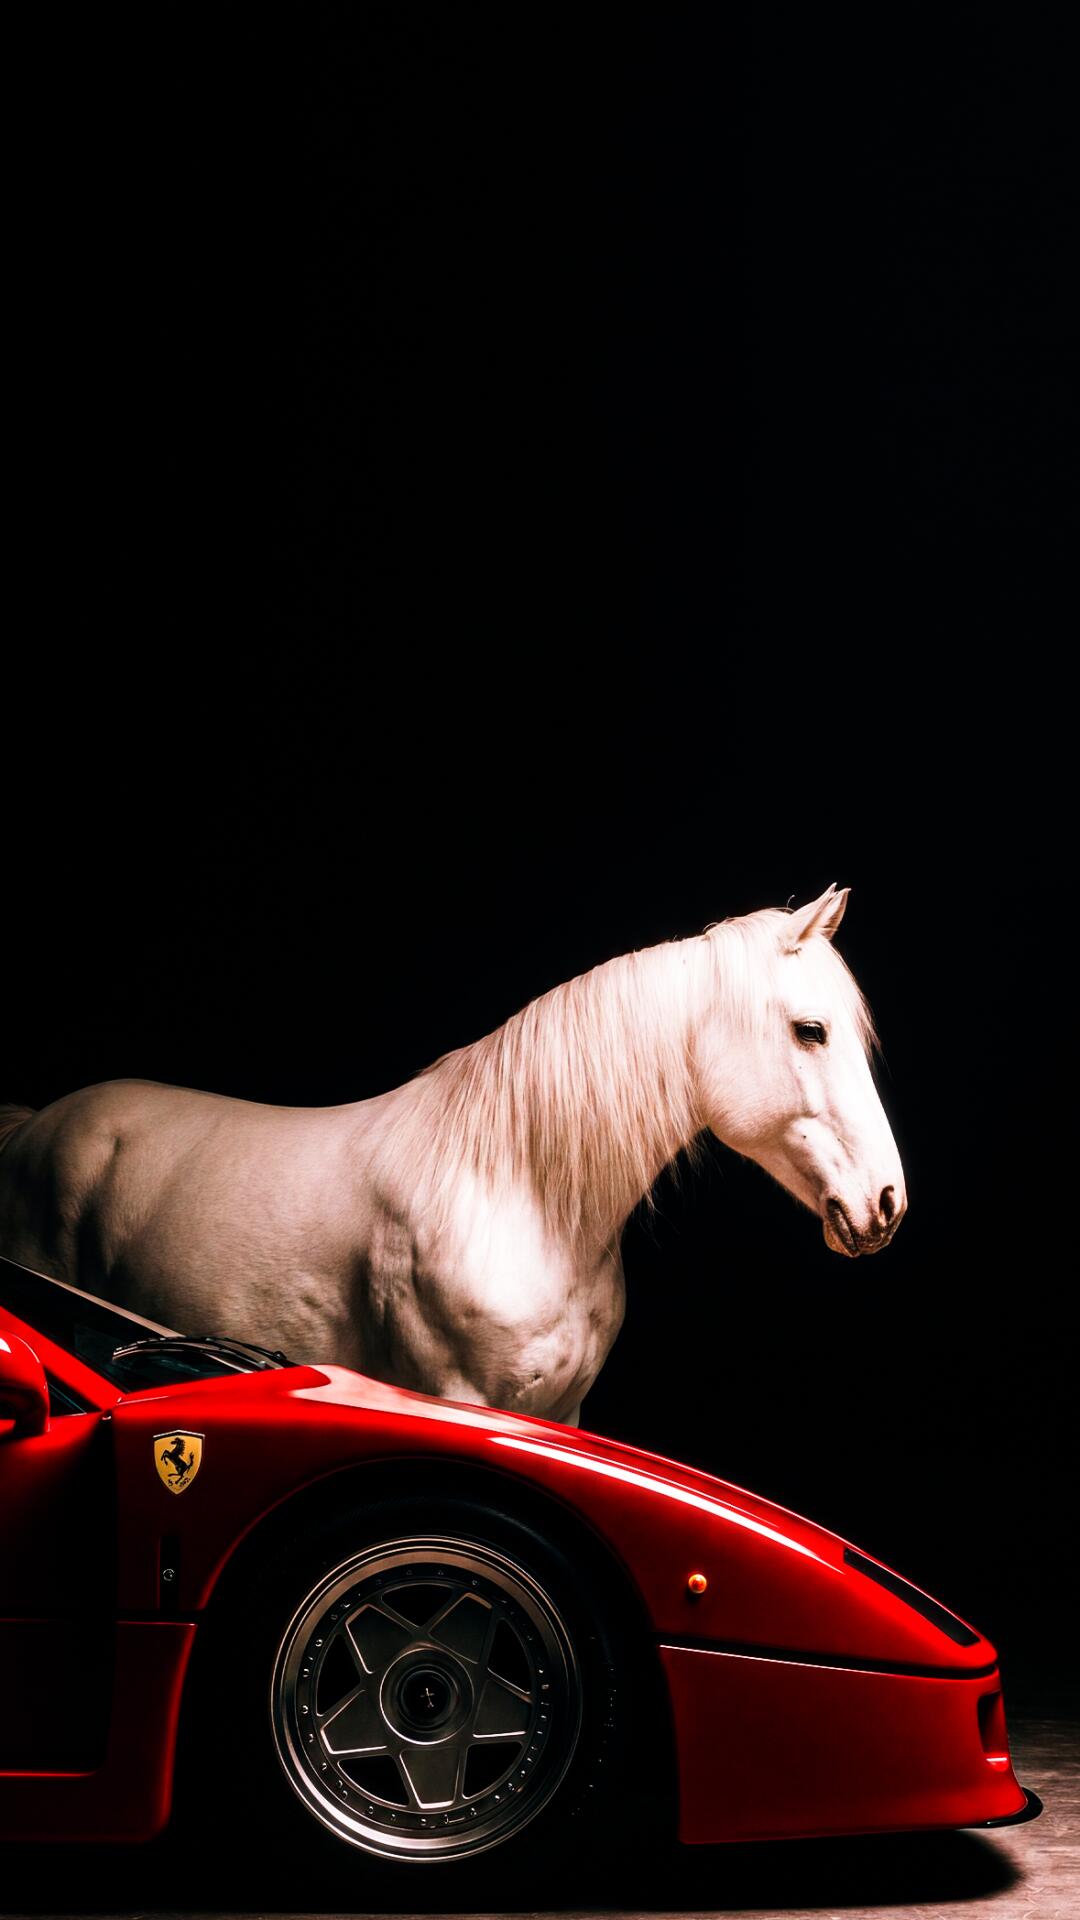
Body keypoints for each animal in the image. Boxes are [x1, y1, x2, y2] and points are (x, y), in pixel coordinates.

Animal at [0, 885, 905, 1424]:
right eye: (811, 1031)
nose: (886, 1203)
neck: (516, 1192)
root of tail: (35, 1127)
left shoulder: (566, 1415)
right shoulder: (465, 1400)